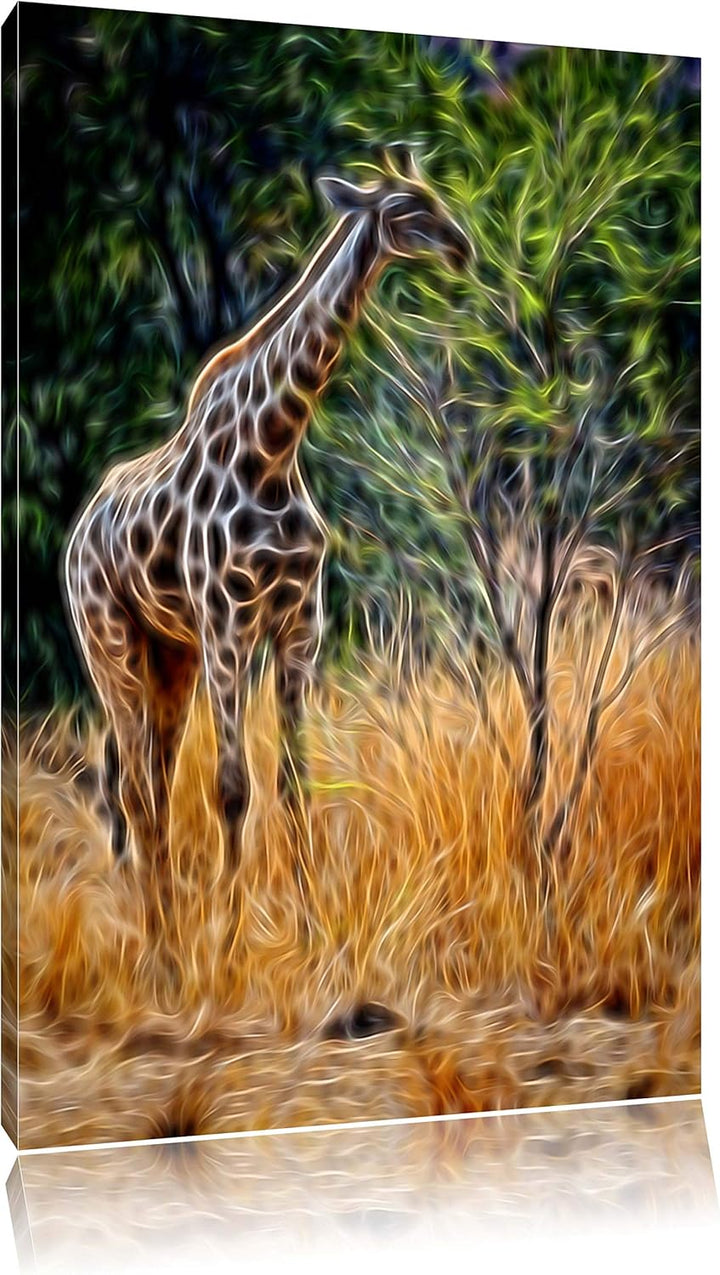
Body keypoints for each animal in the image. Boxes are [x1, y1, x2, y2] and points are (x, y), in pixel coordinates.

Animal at [64, 151, 472, 873]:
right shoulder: (226, 624)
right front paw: (235, 908)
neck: (273, 449)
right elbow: (232, 787)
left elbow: (292, 781)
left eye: (435, 197)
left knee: (148, 784)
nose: (462, 248)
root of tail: (78, 532)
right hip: (111, 646)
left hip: (170, 655)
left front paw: (305, 901)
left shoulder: (299, 621)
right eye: (406, 208)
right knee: (133, 786)